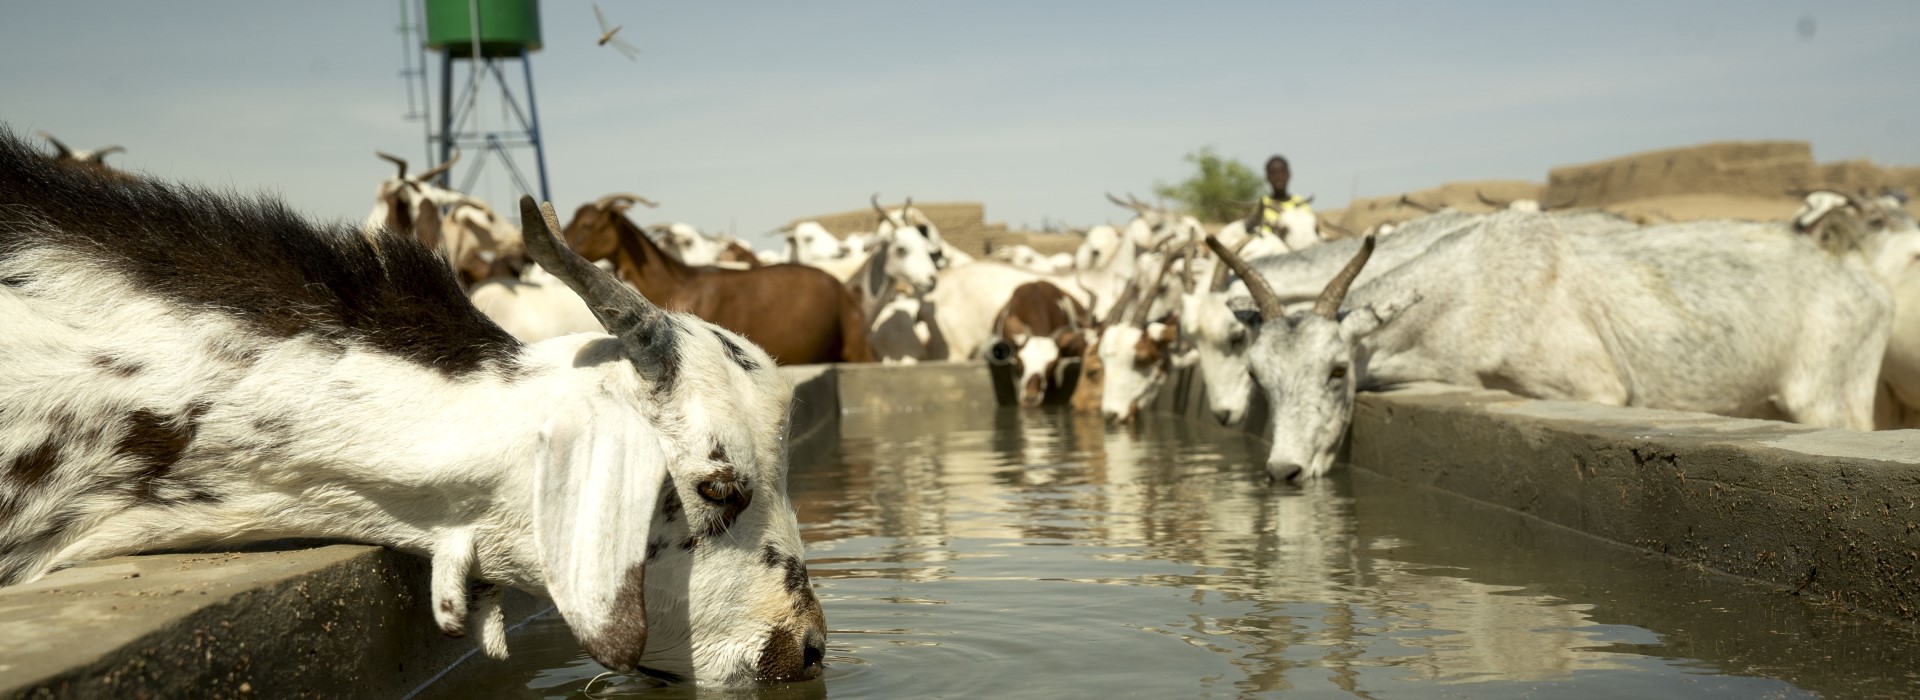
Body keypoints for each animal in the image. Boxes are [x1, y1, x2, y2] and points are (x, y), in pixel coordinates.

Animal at [1213, 207, 1889, 479]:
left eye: (1335, 371)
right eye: (1259, 376)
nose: (1284, 470)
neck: (1473, 292)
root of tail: (1865, 289)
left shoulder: (1598, 387)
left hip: (1832, 396)